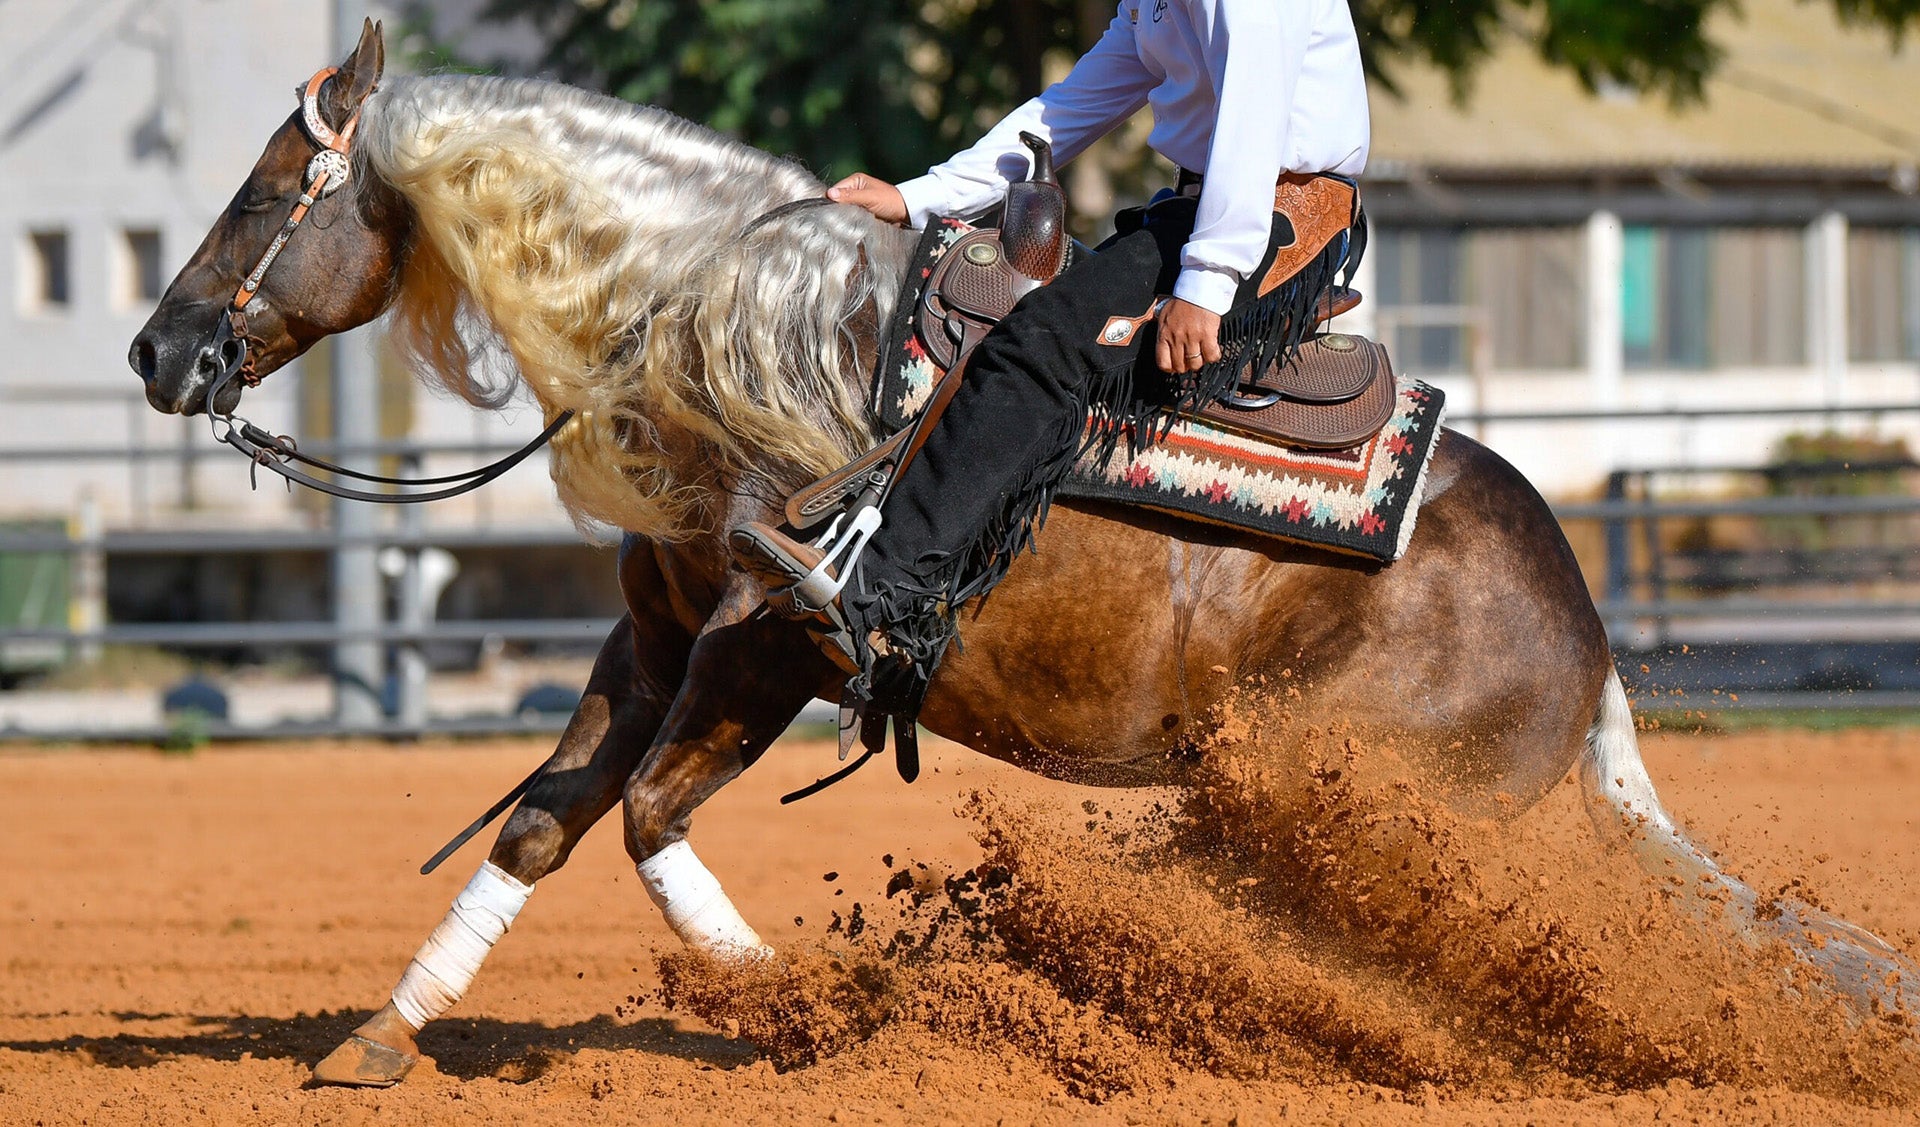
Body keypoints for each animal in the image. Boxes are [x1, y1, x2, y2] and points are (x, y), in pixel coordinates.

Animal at [129, 25, 1914, 1088]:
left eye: (274, 188)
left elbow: (644, 818)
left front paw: (819, 1013)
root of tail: (1582, 632)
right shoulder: (650, 628)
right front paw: (379, 1035)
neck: (726, 321)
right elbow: (548, 819)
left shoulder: (778, 635)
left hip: (1334, 804)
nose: (156, 350)